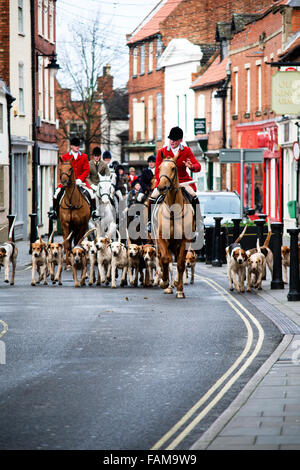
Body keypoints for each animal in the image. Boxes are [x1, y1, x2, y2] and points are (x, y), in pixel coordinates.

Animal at [152, 157, 195, 298]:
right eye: (159, 168)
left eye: (173, 168)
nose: (161, 187)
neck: (173, 211)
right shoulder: (161, 238)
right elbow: (165, 259)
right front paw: (164, 282)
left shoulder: (184, 241)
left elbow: (181, 264)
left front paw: (180, 289)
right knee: (165, 259)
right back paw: (168, 285)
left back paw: (175, 283)